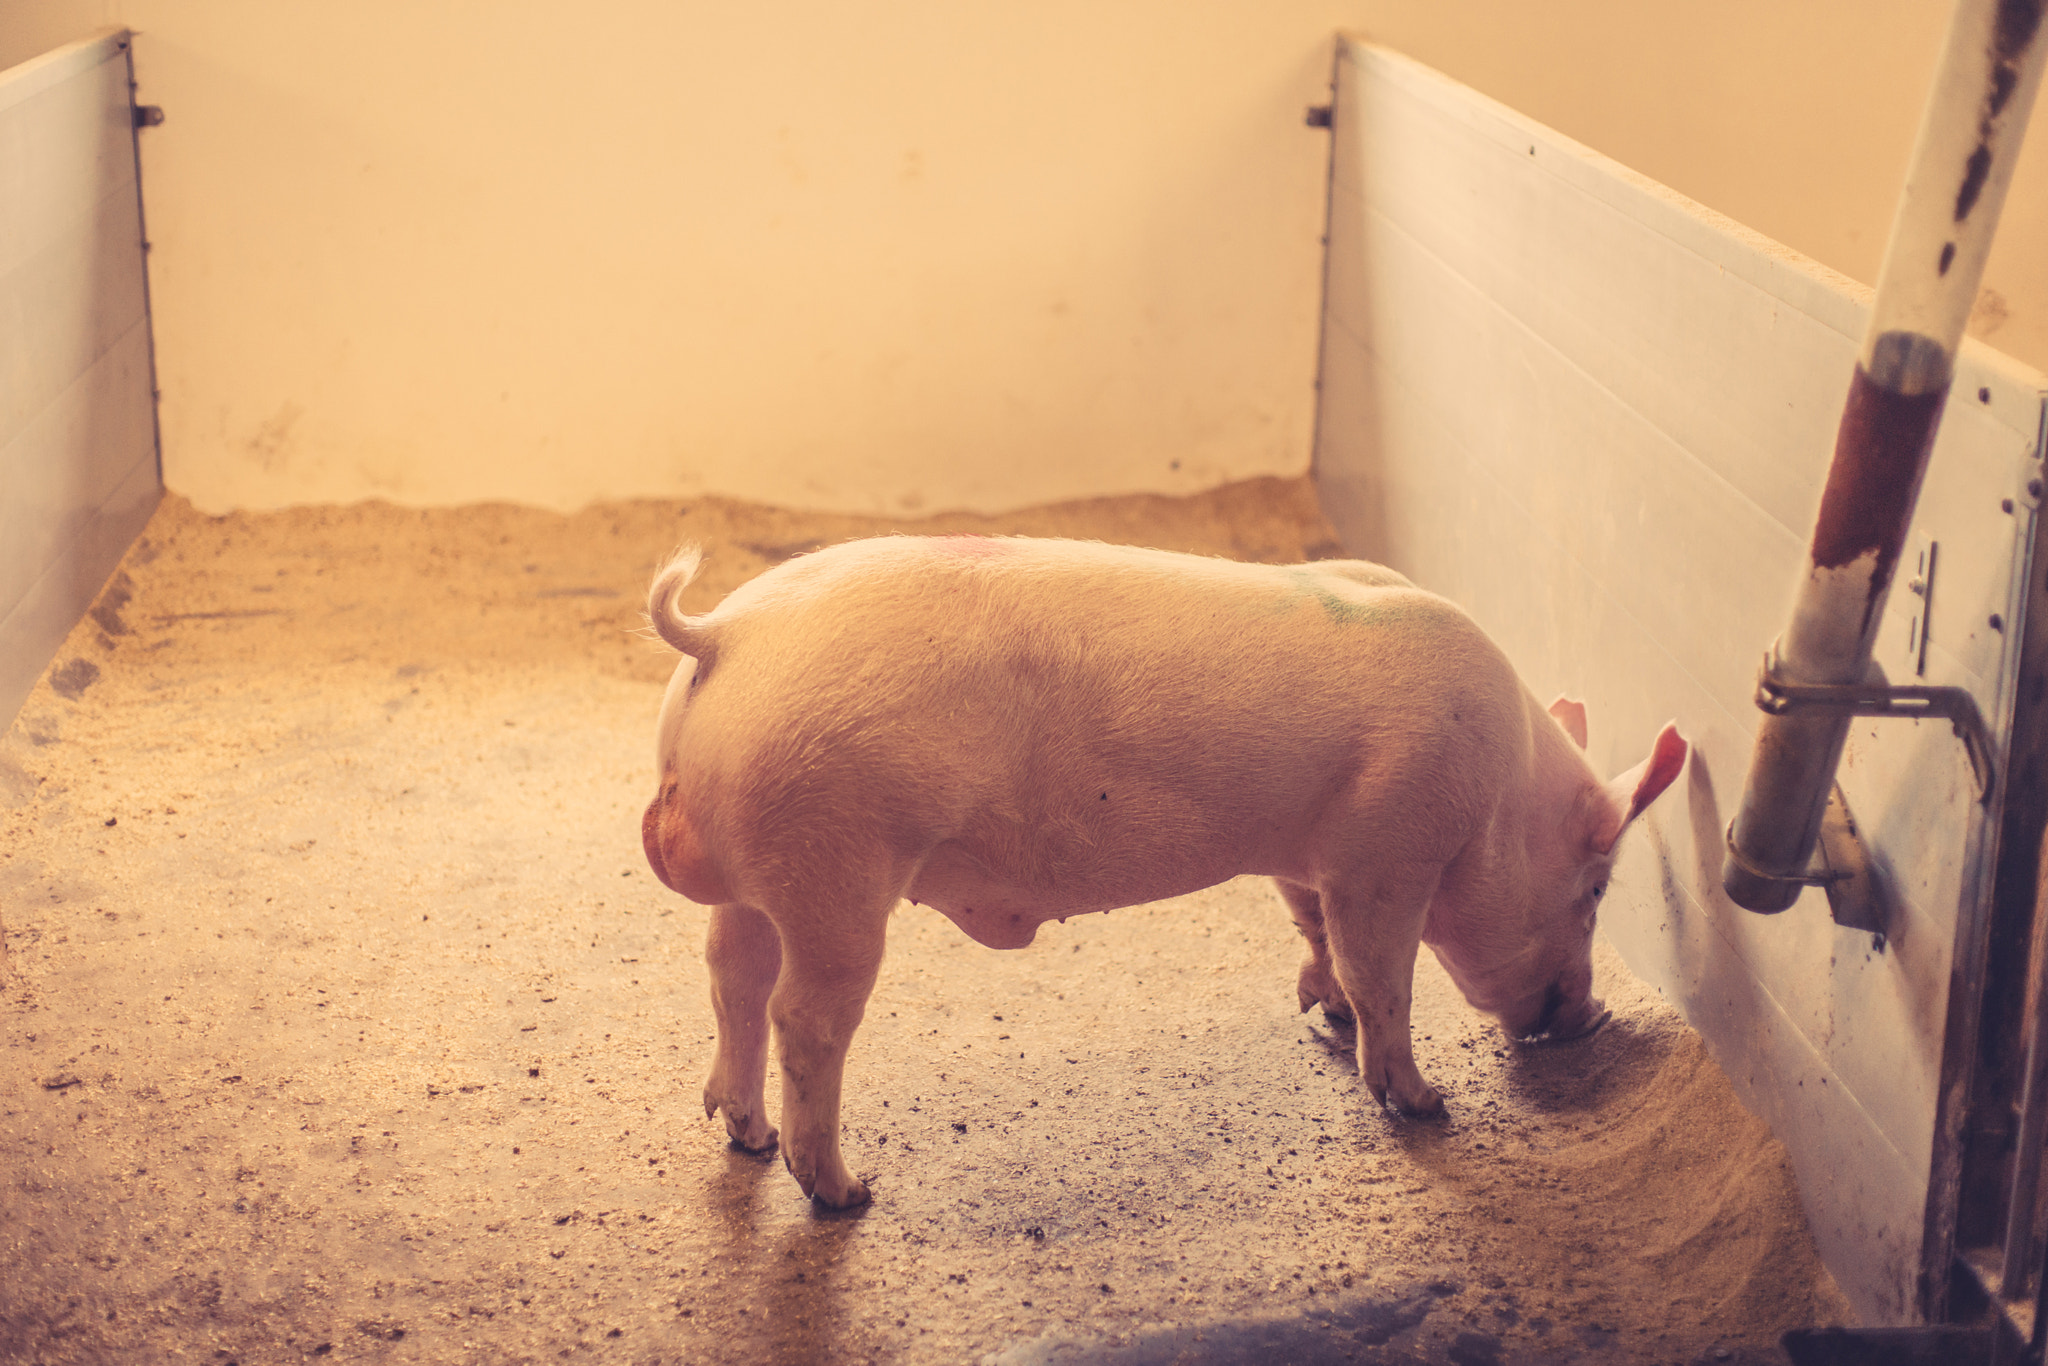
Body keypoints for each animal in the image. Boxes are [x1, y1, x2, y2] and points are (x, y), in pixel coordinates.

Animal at [641, 535, 1687, 1208]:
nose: (1592, 1014)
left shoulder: (1308, 856)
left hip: (763, 881)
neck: (1499, 792)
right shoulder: (1387, 854)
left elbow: (1314, 933)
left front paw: (1321, 1012)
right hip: (838, 868)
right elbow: (1382, 977)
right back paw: (845, 1193)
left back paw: (747, 1134)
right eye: (1596, 889)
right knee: (804, 1019)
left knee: (731, 977)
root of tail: (724, 636)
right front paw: (1426, 1106)